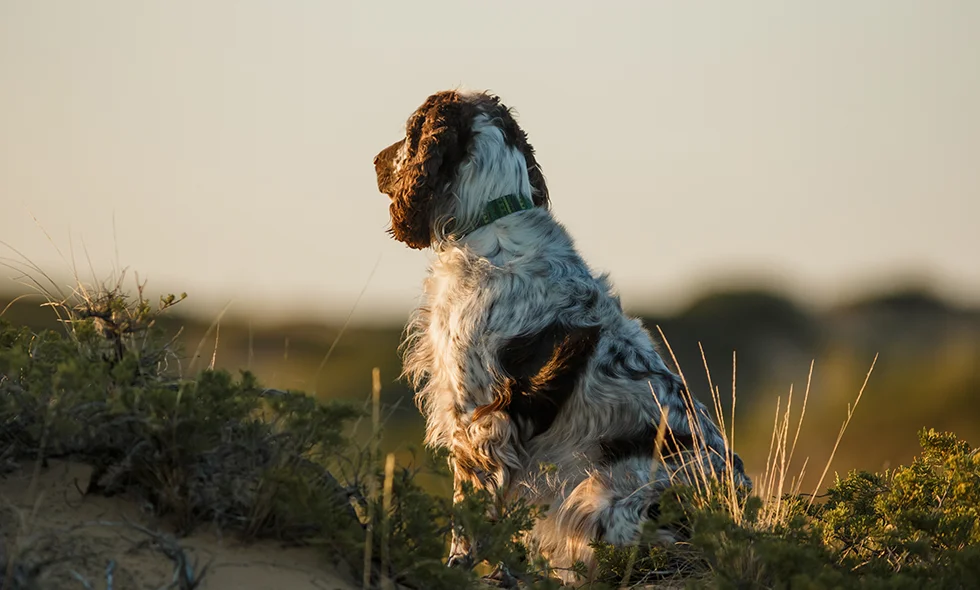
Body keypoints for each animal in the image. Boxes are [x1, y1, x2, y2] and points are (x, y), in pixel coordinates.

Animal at [374, 90, 752, 584]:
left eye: (410, 129)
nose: (376, 162)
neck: (492, 218)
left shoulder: (480, 418)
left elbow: (469, 514)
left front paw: (455, 568)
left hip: (601, 499)